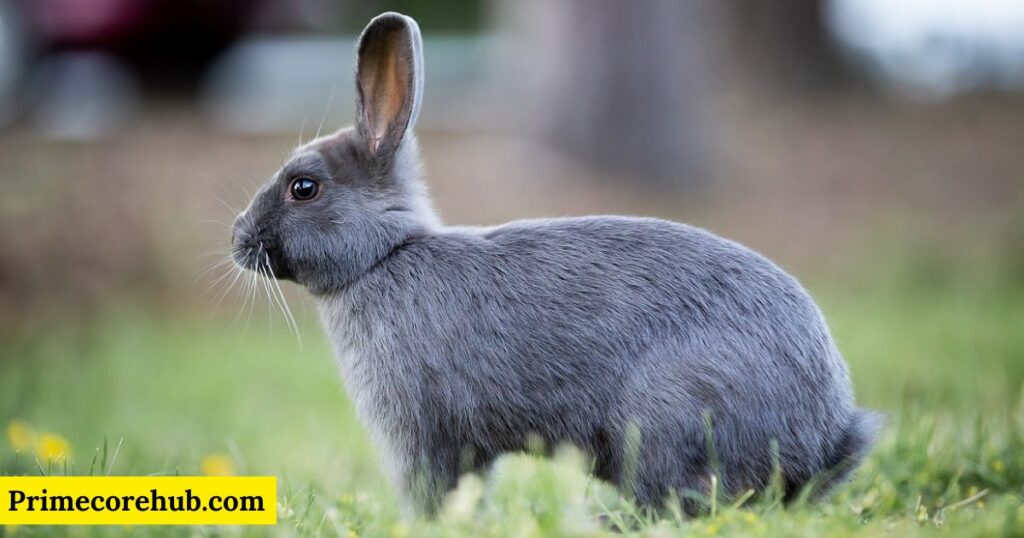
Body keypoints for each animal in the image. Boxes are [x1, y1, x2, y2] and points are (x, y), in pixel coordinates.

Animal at [232, 11, 880, 516]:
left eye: (304, 187)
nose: (238, 238)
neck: (384, 256)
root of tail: (821, 438)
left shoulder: (422, 431)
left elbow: (435, 490)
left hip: (668, 417)